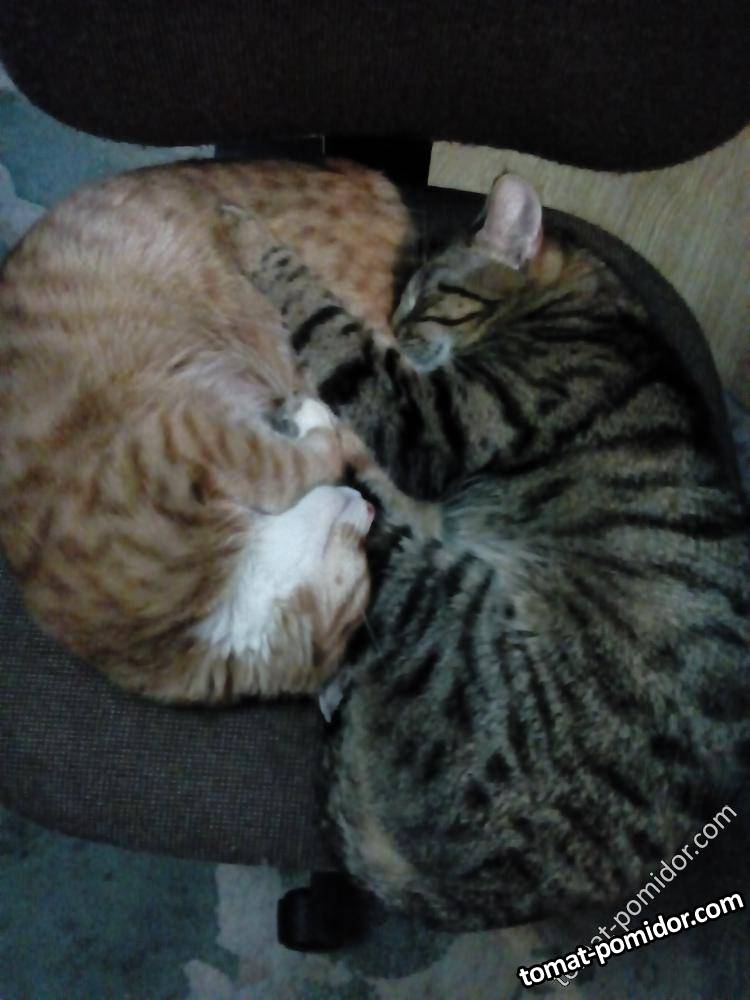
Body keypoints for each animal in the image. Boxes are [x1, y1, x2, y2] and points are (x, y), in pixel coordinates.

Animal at [0, 158, 417, 704]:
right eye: (360, 571)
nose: (367, 509)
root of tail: (357, 168)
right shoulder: (190, 438)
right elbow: (291, 467)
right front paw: (313, 425)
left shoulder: (188, 438)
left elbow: (292, 467)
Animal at [221, 173, 750, 930]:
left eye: (425, 297)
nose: (398, 329)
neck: (580, 303)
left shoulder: (427, 423)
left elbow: (330, 325)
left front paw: (250, 237)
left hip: (453, 602)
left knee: (361, 518)